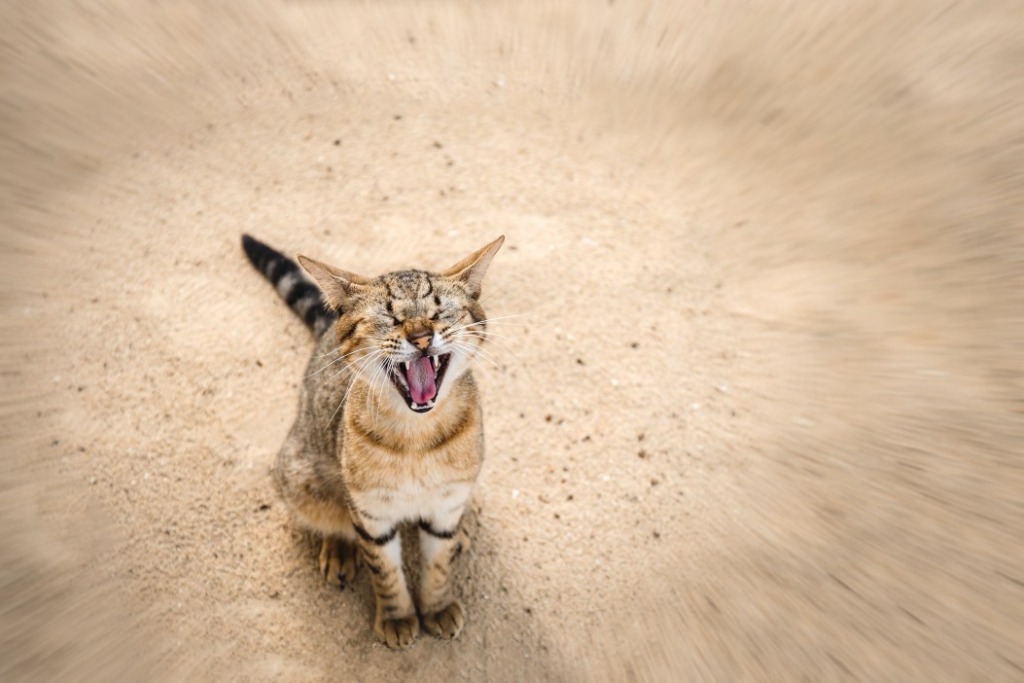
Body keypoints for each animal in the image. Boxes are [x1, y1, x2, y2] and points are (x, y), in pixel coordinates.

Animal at [240, 235, 503, 651]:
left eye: (439, 312)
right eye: (389, 317)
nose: (421, 337)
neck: (417, 439)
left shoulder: (446, 502)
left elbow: (438, 565)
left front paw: (437, 605)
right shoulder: (371, 513)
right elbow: (386, 573)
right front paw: (397, 617)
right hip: (301, 476)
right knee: (330, 516)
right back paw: (338, 548)